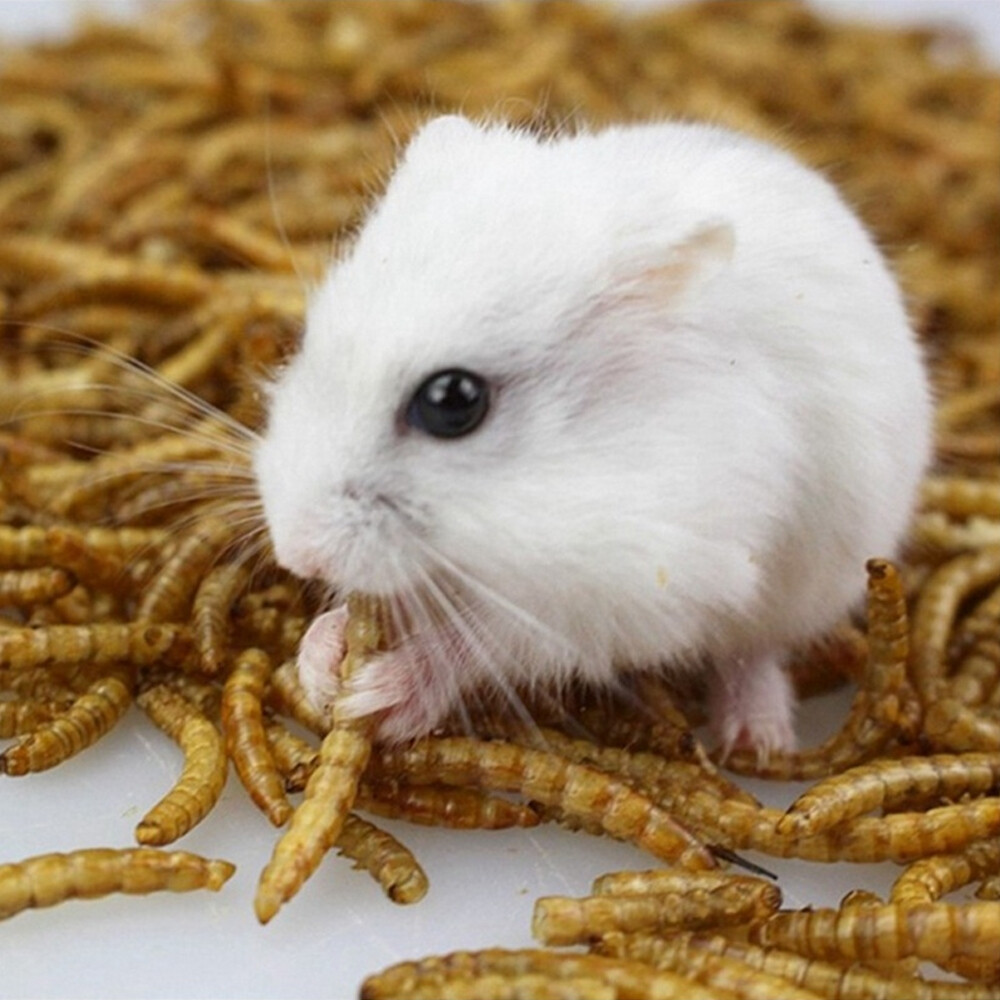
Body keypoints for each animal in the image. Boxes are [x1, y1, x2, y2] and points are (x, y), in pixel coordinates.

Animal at [254, 115, 932, 757]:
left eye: (453, 402)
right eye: (307, 340)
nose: (295, 553)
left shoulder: (621, 593)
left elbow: (483, 639)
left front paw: (380, 694)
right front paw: (319, 661)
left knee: (757, 652)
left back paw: (756, 742)